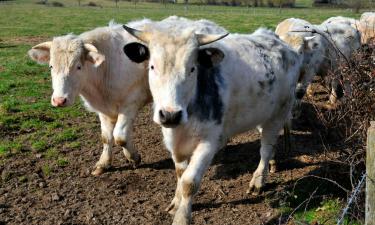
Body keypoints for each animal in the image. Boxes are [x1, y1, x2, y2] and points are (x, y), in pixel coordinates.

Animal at [27, 16, 228, 177]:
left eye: (78, 66)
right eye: (51, 66)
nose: (59, 100)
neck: (105, 67)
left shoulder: (131, 103)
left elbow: (120, 136)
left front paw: (134, 157)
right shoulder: (103, 109)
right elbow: (106, 137)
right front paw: (103, 164)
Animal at [123, 23, 302, 224]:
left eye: (192, 69)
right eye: (152, 66)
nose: (170, 115)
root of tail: (280, 42)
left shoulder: (209, 142)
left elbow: (189, 182)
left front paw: (182, 217)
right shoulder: (173, 142)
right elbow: (180, 174)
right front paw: (176, 203)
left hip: (279, 112)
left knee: (266, 148)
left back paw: (258, 180)